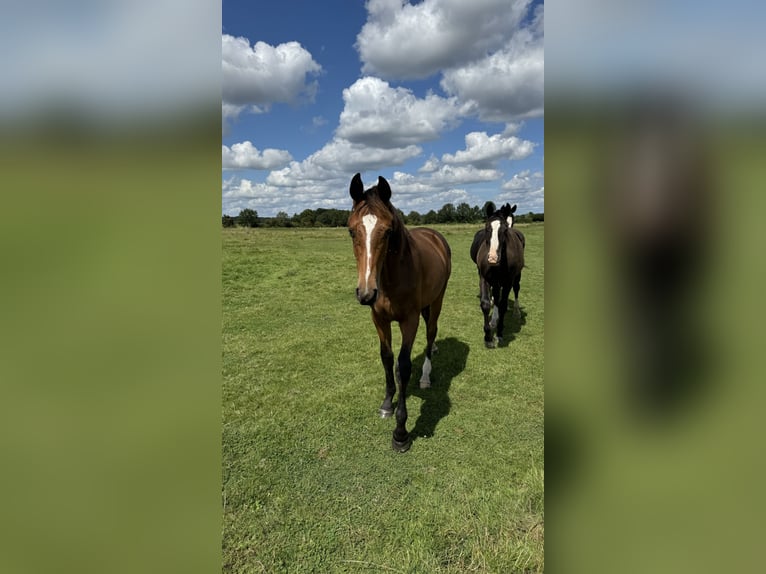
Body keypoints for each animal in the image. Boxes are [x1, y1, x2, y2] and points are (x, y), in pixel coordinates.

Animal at [346, 173, 450, 452]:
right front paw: (386, 404)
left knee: (431, 333)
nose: (366, 293)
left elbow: (403, 366)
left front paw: (401, 432)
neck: (391, 278)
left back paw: (425, 376)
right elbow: (386, 357)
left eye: (388, 231)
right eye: (351, 230)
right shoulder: (379, 319)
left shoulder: (409, 321)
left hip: (436, 301)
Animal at [472, 205, 524, 348]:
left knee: (516, 288)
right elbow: (485, 304)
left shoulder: (507, 281)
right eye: (487, 227)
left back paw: (516, 312)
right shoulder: (484, 277)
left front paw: (499, 333)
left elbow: (503, 305)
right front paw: (488, 336)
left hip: (517, 275)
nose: (493, 258)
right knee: (495, 294)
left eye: (505, 229)